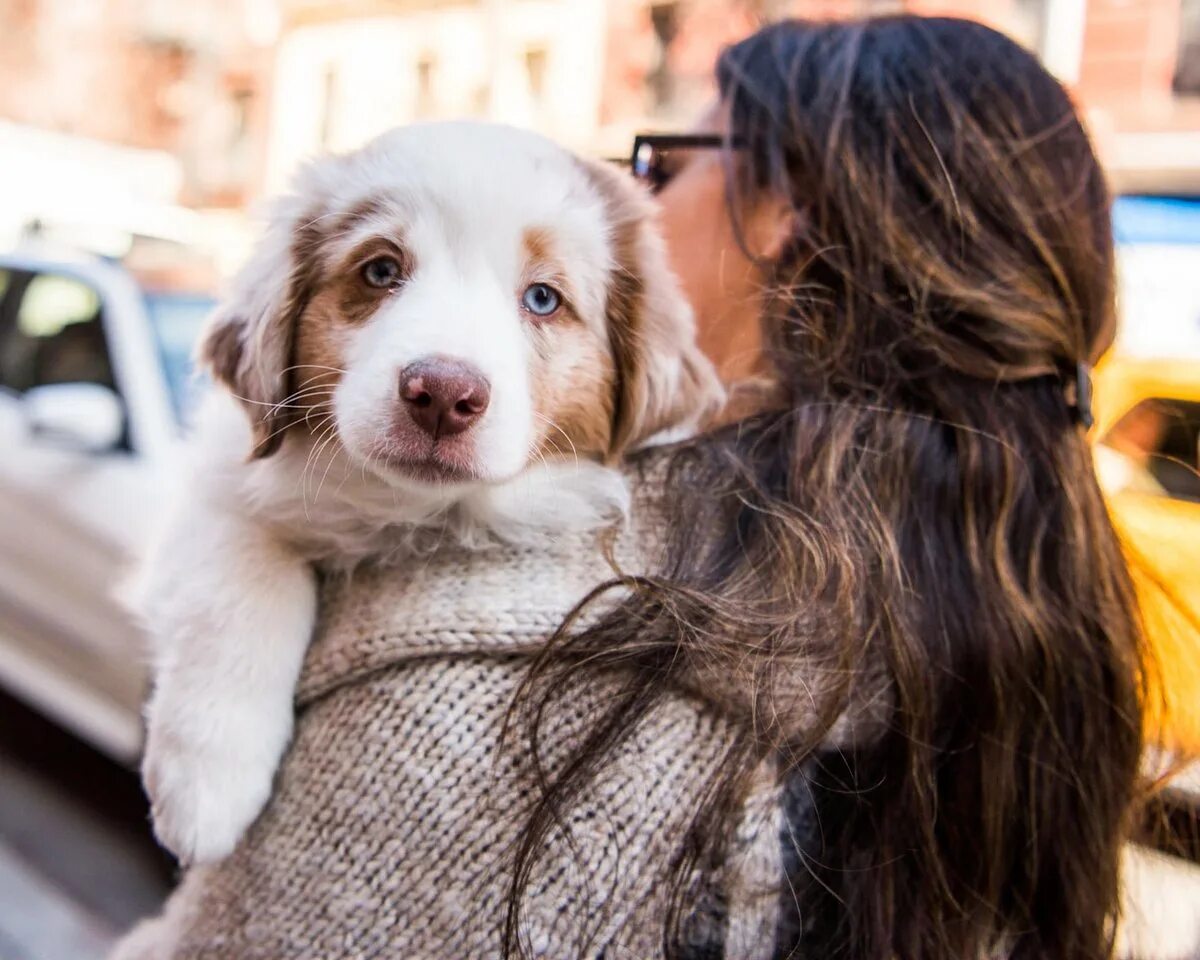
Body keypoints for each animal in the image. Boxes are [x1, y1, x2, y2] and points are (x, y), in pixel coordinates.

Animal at [138, 120, 720, 864]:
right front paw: (208, 784)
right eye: (381, 271)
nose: (443, 393)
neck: (408, 508)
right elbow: (241, 576)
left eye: (543, 298)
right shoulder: (217, 479)